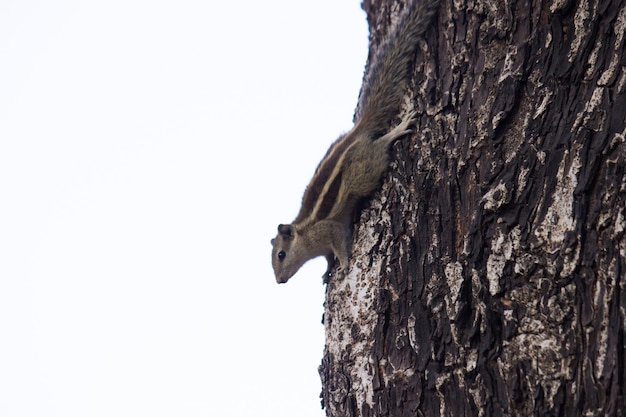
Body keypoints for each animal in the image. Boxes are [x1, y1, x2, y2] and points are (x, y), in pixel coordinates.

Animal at [270, 0, 438, 282]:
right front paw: (327, 271)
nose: (280, 281)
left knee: (380, 147)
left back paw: (396, 131)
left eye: (281, 255)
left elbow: (339, 242)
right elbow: (328, 257)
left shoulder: (329, 229)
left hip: (364, 170)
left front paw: (345, 263)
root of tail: (356, 132)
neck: (305, 237)